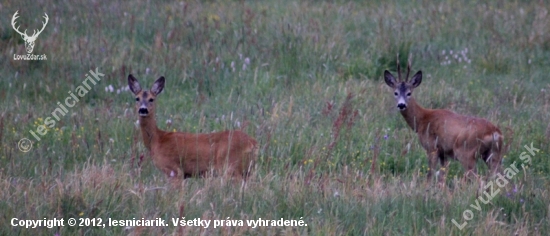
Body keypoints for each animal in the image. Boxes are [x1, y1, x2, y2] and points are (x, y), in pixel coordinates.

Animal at [129, 74, 258, 180]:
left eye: (151, 99)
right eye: (137, 98)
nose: (143, 109)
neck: (157, 139)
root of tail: (253, 142)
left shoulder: (174, 170)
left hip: (230, 166)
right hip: (247, 170)